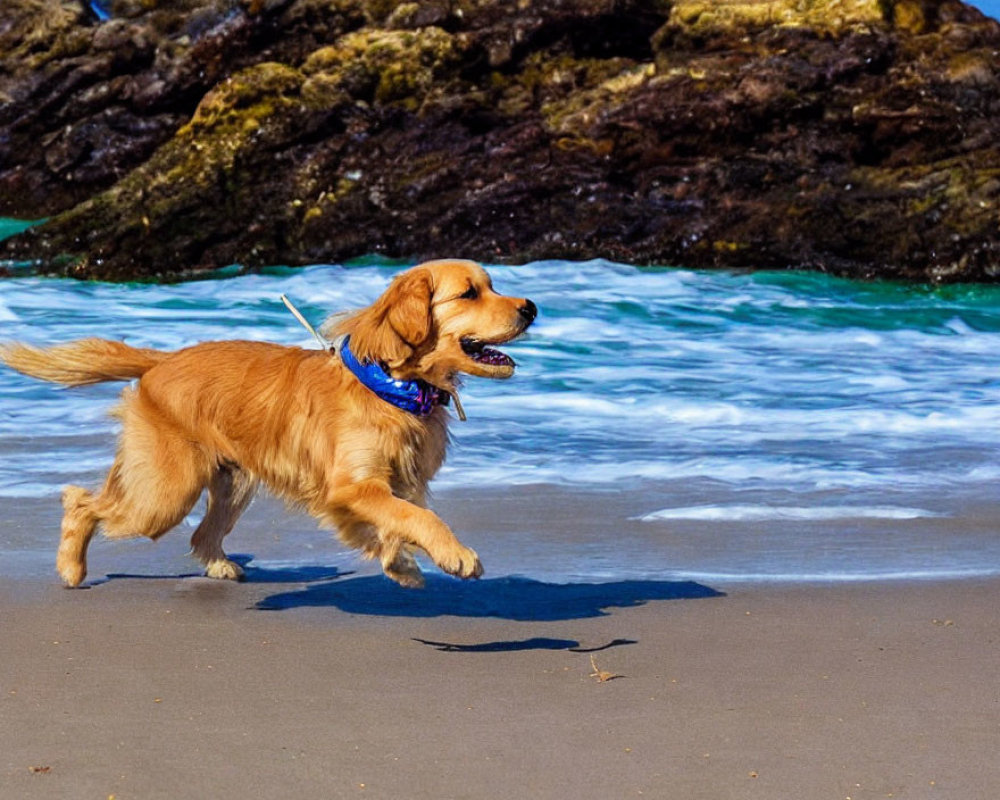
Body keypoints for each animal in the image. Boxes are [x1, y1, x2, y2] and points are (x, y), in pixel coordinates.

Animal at [0, 260, 540, 588]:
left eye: (491, 285)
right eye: (469, 293)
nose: (532, 307)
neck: (391, 386)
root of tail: (162, 360)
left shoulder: (397, 485)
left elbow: (400, 519)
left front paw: (399, 564)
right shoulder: (354, 484)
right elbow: (420, 519)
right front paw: (456, 556)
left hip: (232, 484)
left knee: (200, 534)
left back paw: (221, 566)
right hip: (165, 493)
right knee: (82, 501)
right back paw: (71, 567)